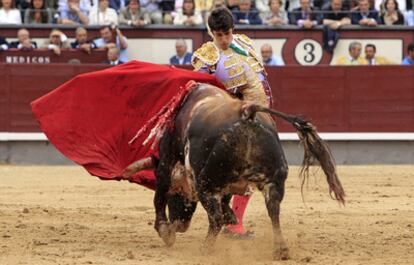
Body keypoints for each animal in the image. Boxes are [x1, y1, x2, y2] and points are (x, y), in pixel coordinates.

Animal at [123, 82, 346, 258]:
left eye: (175, 198)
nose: (181, 225)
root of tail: (248, 113)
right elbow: (228, 202)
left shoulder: (167, 162)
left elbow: (159, 196)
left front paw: (165, 231)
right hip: (274, 181)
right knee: (274, 210)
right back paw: (280, 250)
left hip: (207, 184)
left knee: (216, 218)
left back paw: (205, 249)